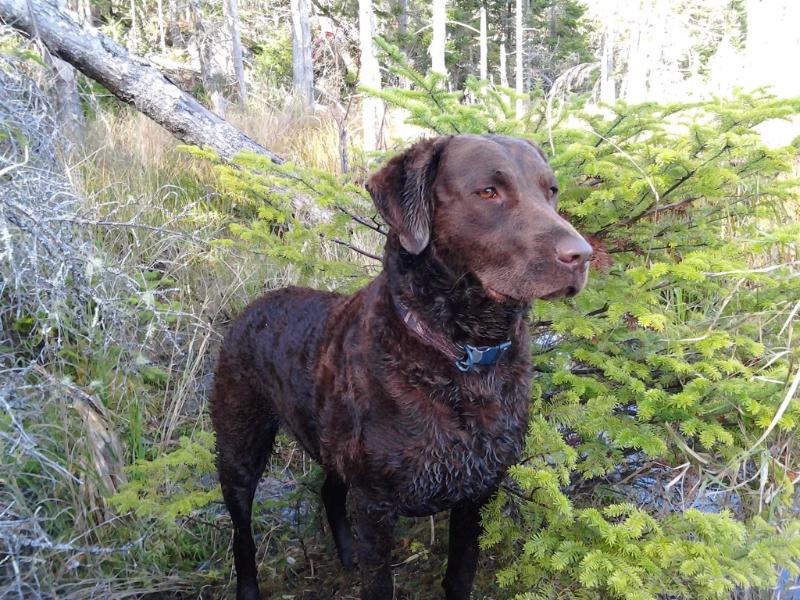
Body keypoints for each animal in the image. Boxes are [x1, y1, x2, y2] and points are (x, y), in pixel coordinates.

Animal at [209, 136, 592, 600]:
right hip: (239, 446)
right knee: (241, 531)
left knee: (329, 491)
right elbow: (379, 584)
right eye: (488, 192)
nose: (583, 255)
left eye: (550, 191)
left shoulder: (477, 495)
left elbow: (460, 574)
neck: (464, 357)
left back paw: (347, 554)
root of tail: (253, 308)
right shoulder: (376, 506)